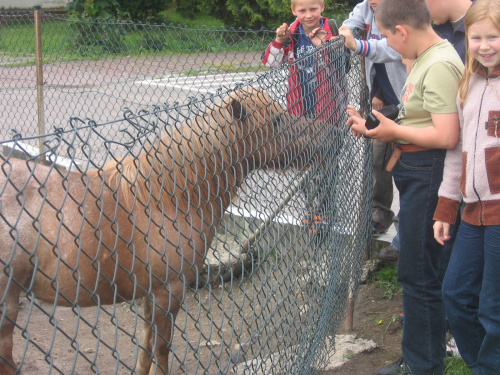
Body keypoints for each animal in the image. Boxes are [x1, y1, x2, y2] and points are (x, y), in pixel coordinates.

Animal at [0, 87, 322, 374]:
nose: (326, 131)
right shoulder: (169, 291)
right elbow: (162, 348)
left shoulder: (150, 295)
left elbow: (146, 348)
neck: (166, 200)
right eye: (276, 120)